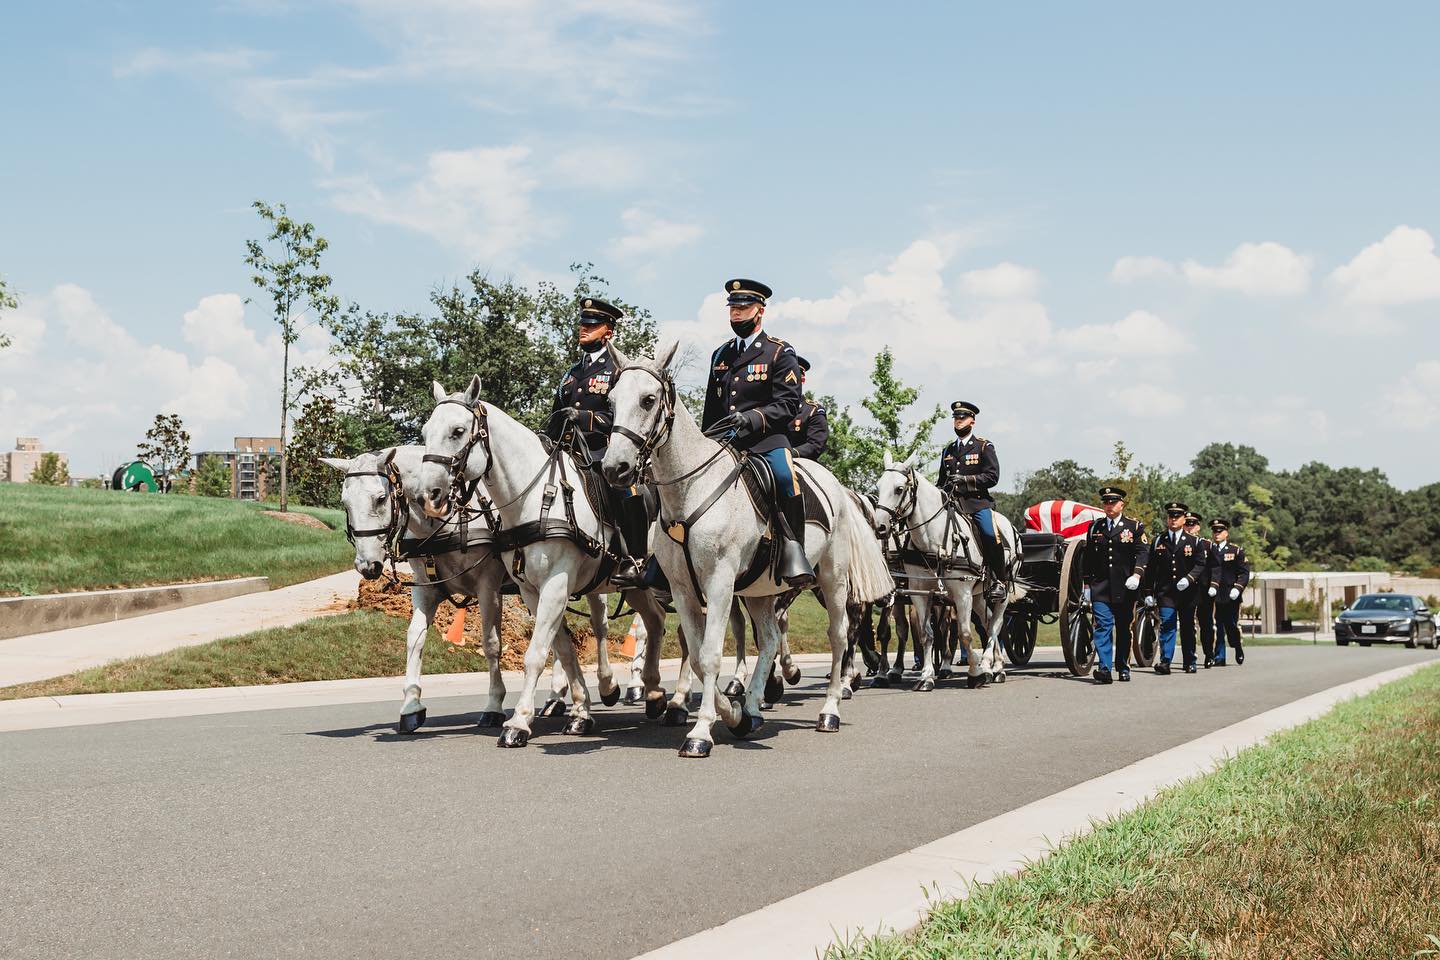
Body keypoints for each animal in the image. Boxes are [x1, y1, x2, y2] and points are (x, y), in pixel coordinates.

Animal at [417, 377, 679, 748]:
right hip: (635, 584)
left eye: (457, 431)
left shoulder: (557, 583)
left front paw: (518, 722)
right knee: (656, 621)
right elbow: (564, 651)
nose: (429, 496)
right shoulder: (532, 590)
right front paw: (581, 712)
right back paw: (654, 694)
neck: (535, 496)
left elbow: (537, 654)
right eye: (425, 432)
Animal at [596, 341, 887, 754]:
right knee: (769, 639)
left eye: (649, 400)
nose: (614, 468)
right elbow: (698, 656)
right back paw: (751, 709)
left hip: (832, 581)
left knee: (838, 635)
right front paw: (731, 714)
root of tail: (840, 488)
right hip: (758, 591)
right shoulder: (684, 590)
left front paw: (700, 732)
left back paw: (829, 710)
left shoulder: (718, 584)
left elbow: (709, 654)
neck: (691, 489)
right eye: (611, 400)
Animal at [864, 451, 1025, 690]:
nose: (880, 527)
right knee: (986, 623)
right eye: (878, 486)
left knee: (995, 625)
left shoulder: (961, 592)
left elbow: (964, 633)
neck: (934, 539)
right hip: (978, 595)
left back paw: (988, 665)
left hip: (999, 592)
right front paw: (926, 676)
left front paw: (975, 672)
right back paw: (995, 667)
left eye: (899, 489)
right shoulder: (918, 592)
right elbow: (925, 633)